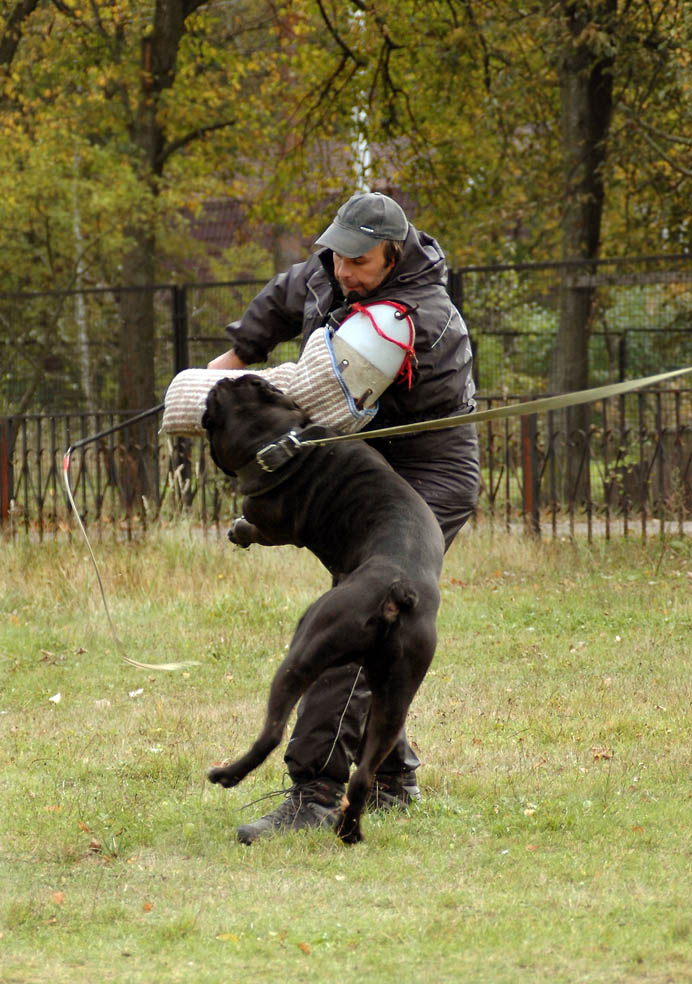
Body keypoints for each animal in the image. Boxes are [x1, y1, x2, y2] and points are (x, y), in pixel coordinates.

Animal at [200, 372, 444, 840]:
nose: (223, 376)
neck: (281, 439)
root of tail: (398, 588)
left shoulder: (273, 522)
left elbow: (255, 524)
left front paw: (239, 529)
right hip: (395, 695)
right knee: (362, 774)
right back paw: (349, 832)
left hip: (304, 650)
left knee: (273, 732)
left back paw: (226, 775)